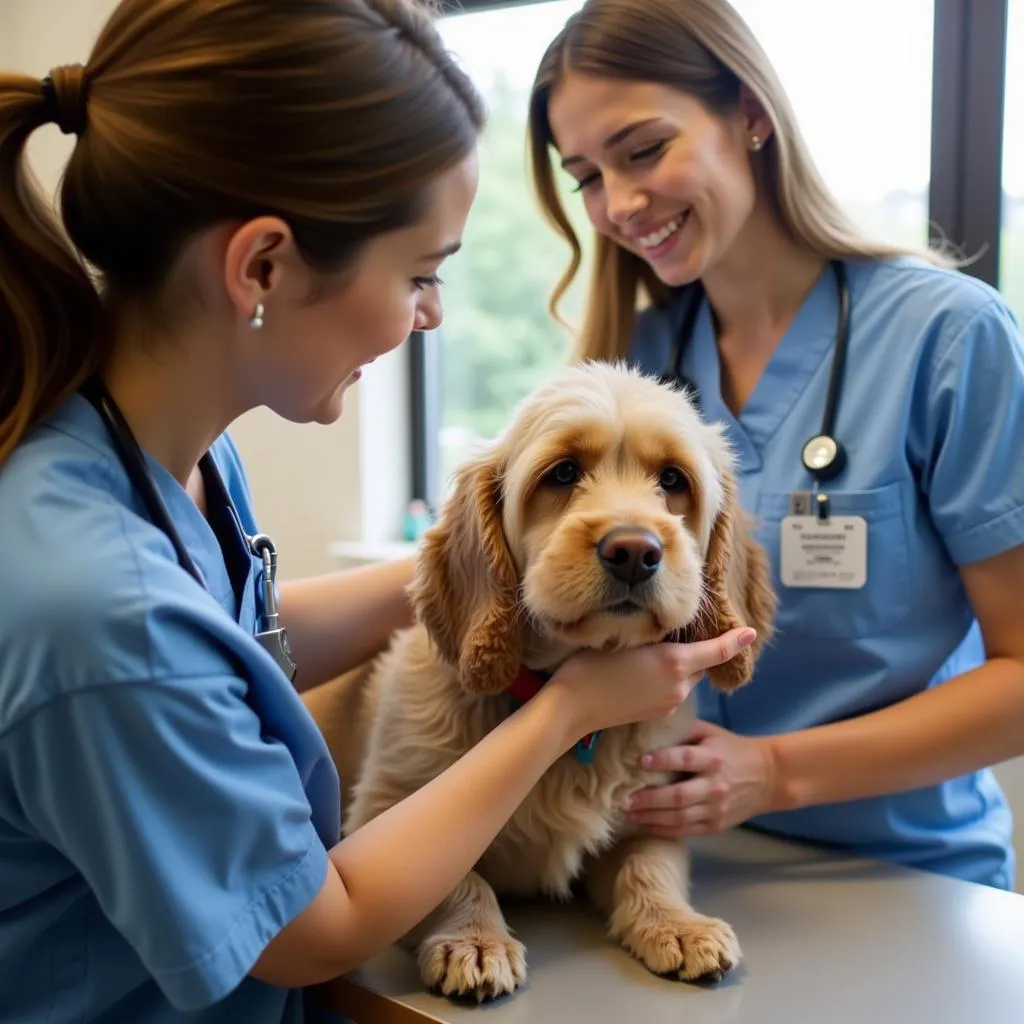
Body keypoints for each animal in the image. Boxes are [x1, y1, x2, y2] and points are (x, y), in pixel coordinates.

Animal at [303, 360, 774, 999]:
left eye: (673, 479)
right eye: (564, 472)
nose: (634, 551)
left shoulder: (653, 811)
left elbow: (649, 864)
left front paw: (679, 926)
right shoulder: (381, 814)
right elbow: (459, 880)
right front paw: (474, 940)